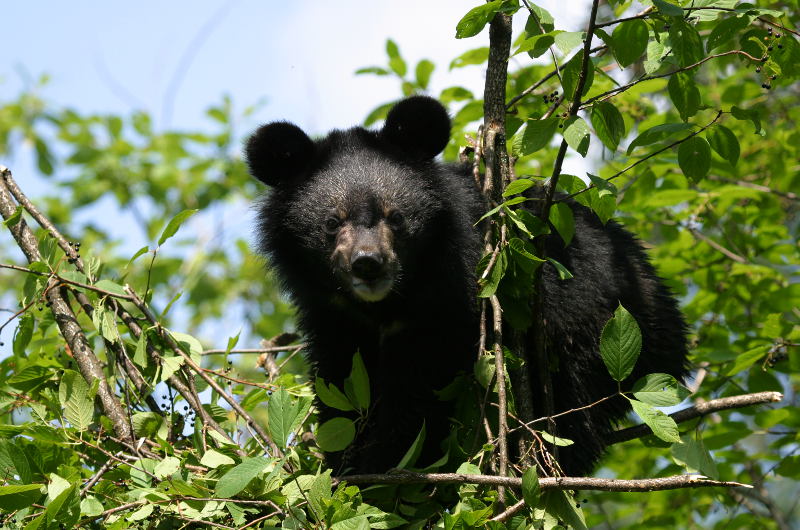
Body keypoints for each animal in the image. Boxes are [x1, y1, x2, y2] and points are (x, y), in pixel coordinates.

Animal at [245, 95, 688, 474]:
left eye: (396, 217)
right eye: (331, 223)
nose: (368, 264)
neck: (389, 303)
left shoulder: (452, 303)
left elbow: (422, 392)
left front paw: (383, 466)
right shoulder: (333, 315)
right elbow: (342, 382)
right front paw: (342, 462)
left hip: (593, 324)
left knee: (575, 407)